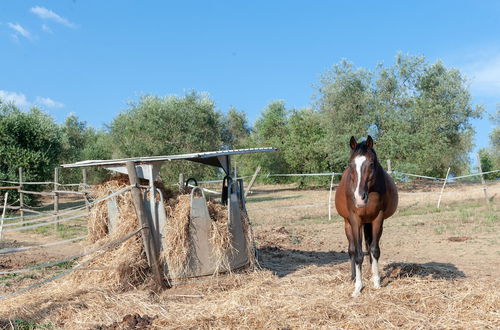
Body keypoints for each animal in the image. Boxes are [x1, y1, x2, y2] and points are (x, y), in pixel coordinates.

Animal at [336, 135, 398, 298]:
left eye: (371, 163)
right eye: (350, 164)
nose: (359, 198)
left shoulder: (377, 219)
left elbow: (374, 250)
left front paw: (376, 282)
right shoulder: (355, 220)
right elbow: (358, 254)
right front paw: (358, 287)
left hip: (368, 223)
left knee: (369, 246)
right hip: (348, 224)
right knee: (352, 249)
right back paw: (353, 277)